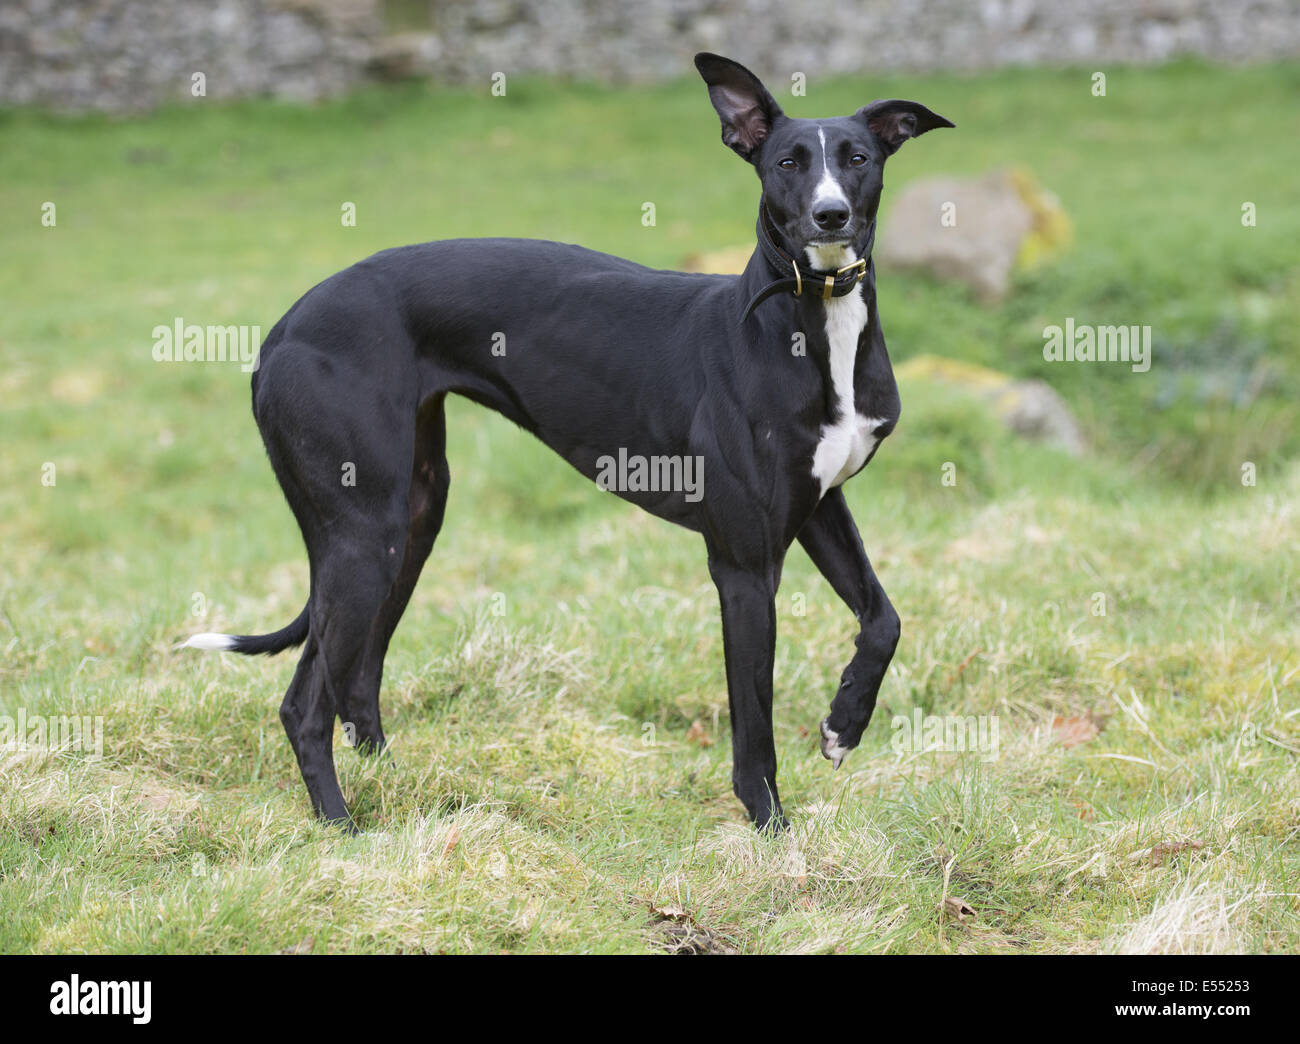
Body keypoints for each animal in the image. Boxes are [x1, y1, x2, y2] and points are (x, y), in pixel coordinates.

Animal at [183, 55, 951, 832]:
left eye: (858, 158)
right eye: (788, 162)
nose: (831, 216)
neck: (806, 319)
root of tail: (283, 329)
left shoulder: (818, 506)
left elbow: (884, 618)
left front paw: (844, 725)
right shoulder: (743, 566)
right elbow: (753, 726)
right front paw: (771, 828)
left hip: (410, 523)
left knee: (357, 679)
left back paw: (394, 786)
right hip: (362, 537)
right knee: (304, 702)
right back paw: (342, 826)